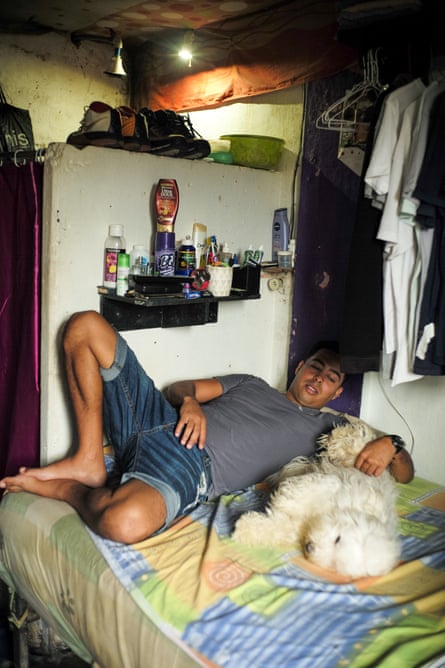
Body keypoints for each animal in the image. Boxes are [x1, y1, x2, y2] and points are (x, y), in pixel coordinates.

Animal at [232, 420, 398, 576]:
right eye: (338, 539)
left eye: (334, 564)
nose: (310, 548)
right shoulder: (335, 486)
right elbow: (328, 483)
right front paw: (283, 500)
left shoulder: (295, 526)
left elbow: (278, 528)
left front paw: (244, 529)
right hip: (358, 459)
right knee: (357, 443)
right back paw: (338, 437)